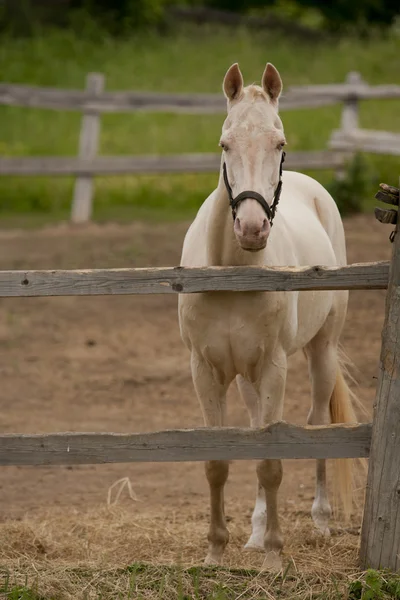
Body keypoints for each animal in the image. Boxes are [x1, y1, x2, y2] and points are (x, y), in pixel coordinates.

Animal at [179, 63, 360, 568]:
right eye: (225, 143)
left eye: (279, 143)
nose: (252, 228)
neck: (231, 272)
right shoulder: (207, 370)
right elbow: (219, 460)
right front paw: (215, 553)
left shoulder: (275, 366)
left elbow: (271, 461)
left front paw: (275, 558)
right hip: (246, 376)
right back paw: (256, 532)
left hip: (320, 352)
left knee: (317, 423)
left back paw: (320, 522)